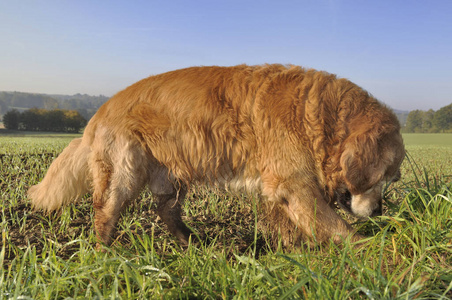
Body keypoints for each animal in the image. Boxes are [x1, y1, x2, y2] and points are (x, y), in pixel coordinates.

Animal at [26, 65, 404, 246]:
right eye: (384, 176)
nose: (380, 210)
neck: (320, 117)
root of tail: (100, 111)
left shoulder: (280, 189)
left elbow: (293, 226)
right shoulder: (292, 184)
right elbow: (337, 226)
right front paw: (370, 251)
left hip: (171, 174)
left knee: (165, 210)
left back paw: (193, 242)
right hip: (124, 170)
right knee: (105, 212)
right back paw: (105, 252)